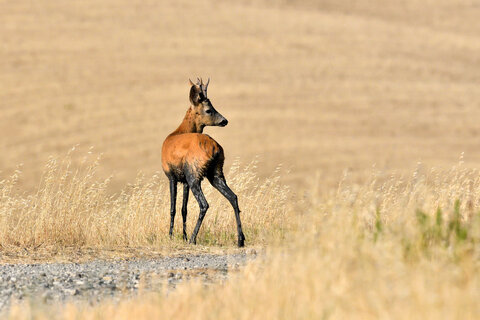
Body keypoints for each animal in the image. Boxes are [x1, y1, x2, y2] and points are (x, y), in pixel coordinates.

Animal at [161, 78, 246, 248]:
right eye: (208, 110)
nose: (224, 120)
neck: (178, 131)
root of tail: (215, 148)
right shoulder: (184, 180)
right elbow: (184, 209)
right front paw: (183, 236)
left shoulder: (171, 175)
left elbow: (173, 208)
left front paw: (171, 236)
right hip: (216, 172)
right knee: (233, 197)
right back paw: (240, 239)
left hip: (195, 174)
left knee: (204, 204)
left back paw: (193, 239)